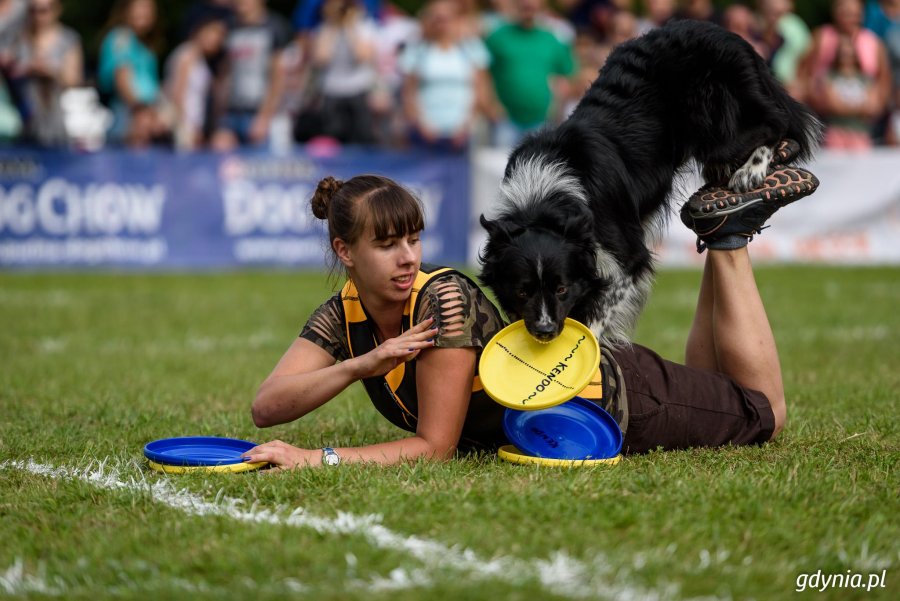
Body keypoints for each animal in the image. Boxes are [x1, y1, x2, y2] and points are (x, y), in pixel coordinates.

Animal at [478, 18, 824, 344]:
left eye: (561, 288)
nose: (545, 332)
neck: (545, 200)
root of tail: (726, 34)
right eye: (522, 291)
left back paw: (750, 171)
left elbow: (598, 317)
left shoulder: (627, 257)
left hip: (717, 115)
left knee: (776, 123)